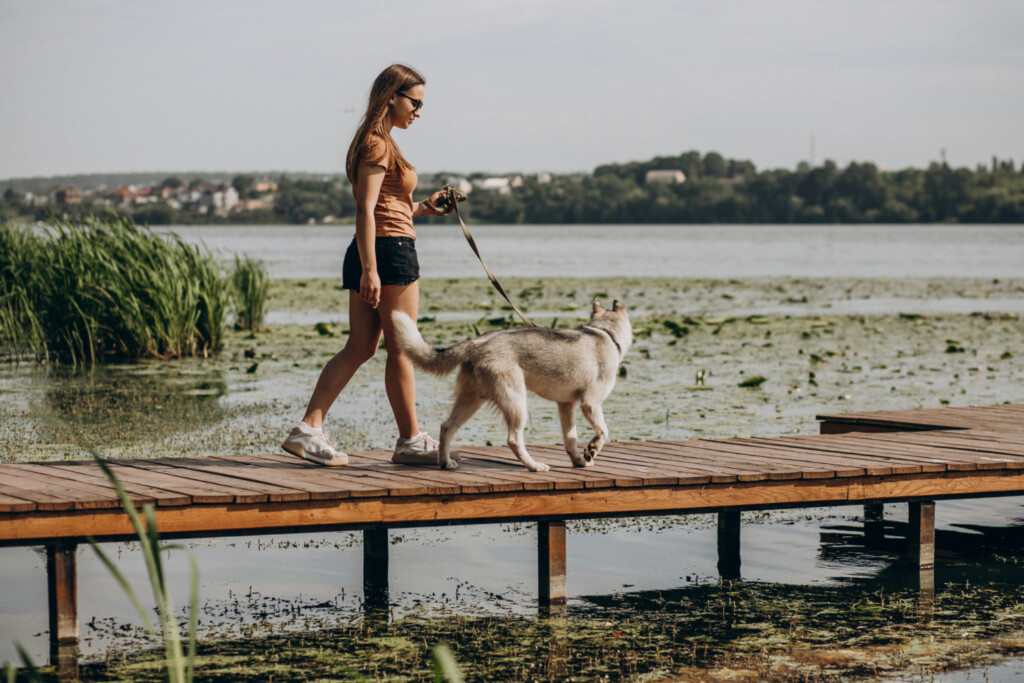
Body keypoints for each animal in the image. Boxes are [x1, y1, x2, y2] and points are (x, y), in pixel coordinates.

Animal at [391, 301, 630, 473]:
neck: (605, 333)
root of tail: (475, 343)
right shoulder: (590, 404)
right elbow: (603, 432)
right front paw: (591, 450)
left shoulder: (566, 406)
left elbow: (570, 440)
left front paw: (580, 460)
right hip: (516, 403)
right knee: (514, 440)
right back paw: (534, 466)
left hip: (471, 401)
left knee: (446, 427)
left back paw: (445, 462)